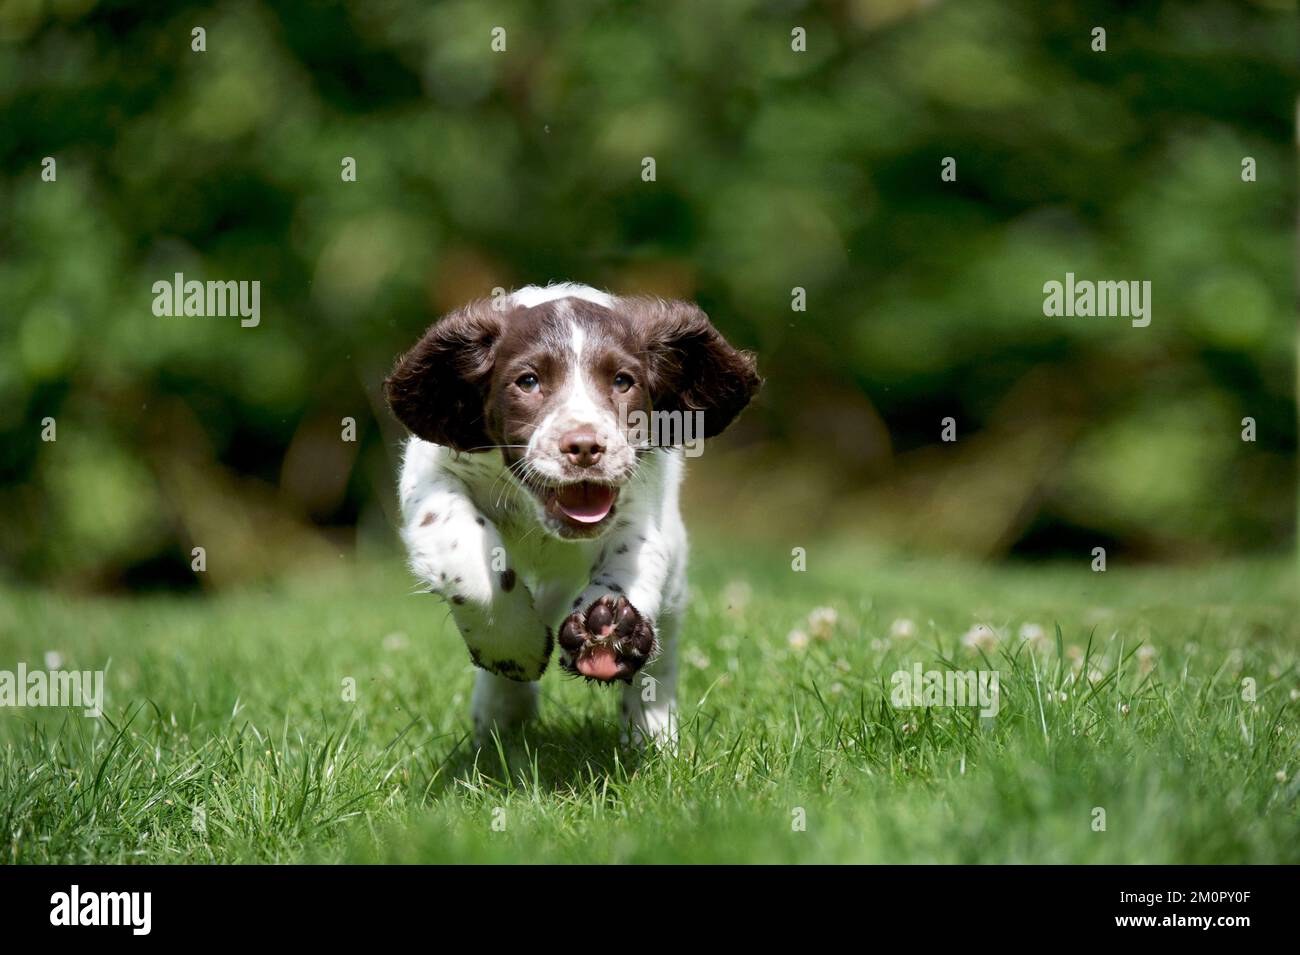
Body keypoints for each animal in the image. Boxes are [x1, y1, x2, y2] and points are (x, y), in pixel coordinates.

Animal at [379, 283, 759, 748]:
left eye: (622, 381)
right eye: (528, 381)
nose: (584, 446)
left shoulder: (642, 507)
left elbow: (629, 563)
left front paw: (607, 633)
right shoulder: (432, 474)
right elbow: (469, 563)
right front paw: (516, 649)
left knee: (663, 647)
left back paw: (651, 730)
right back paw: (501, 710)